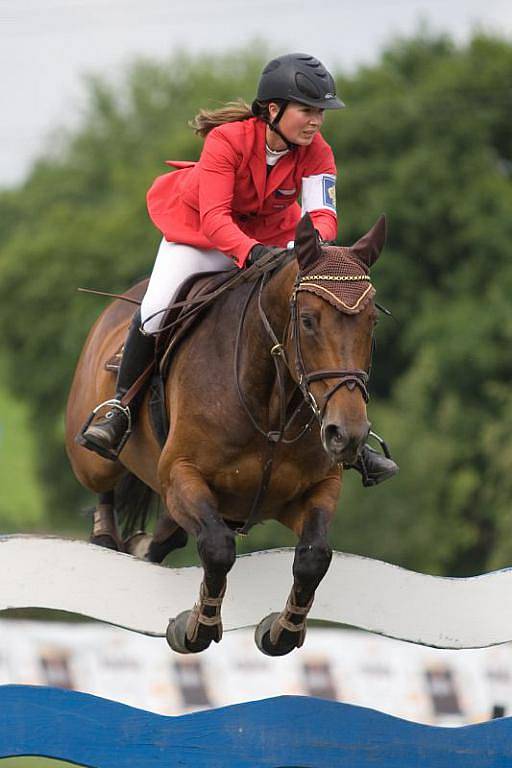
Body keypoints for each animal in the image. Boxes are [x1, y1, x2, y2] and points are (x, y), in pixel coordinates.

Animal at [65, 213, 384, 656]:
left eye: (372, 322)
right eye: (307, 321)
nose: (347, 434)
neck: (272, 401)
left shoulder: (314, 488)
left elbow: (314, 555)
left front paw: (281, 631)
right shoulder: (180, 474)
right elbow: (217, 548)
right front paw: (195, 628)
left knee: (167, 538)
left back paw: (143, 544)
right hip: (93, 458)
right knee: (104, 483)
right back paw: (105, 524)